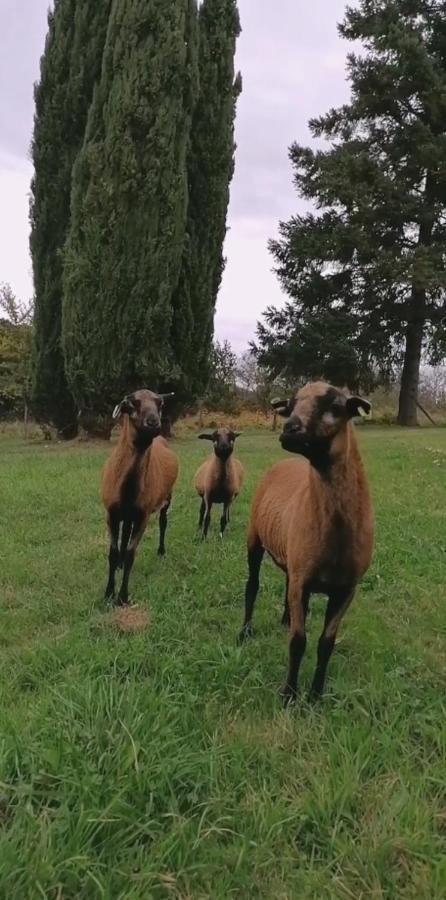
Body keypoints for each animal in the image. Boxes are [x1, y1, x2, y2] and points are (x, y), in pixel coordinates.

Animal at [101, 386, 178, 604]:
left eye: (160, 403)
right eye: (132, 403)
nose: (153, 422)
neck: (127, 487)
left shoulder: (143, 515)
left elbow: (131, 554)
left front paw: (122, 596)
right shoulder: (111, 513)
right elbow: (113, 552)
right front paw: (108, 593)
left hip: (166, 497)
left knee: (163, 522)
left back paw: (161, 551)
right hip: (127, 514)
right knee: (125, 532)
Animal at [239, 380, 374, 704]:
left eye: (336, 407)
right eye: (291, 404)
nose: (289, 428)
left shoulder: (346, 589)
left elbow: (326, 643)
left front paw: (315, 694)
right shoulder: (303, 581)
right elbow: (298, 641)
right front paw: (289, 694)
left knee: (287, 584)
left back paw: (285, 618)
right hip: (254, 538)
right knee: (252, 585)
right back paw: (245, 632)